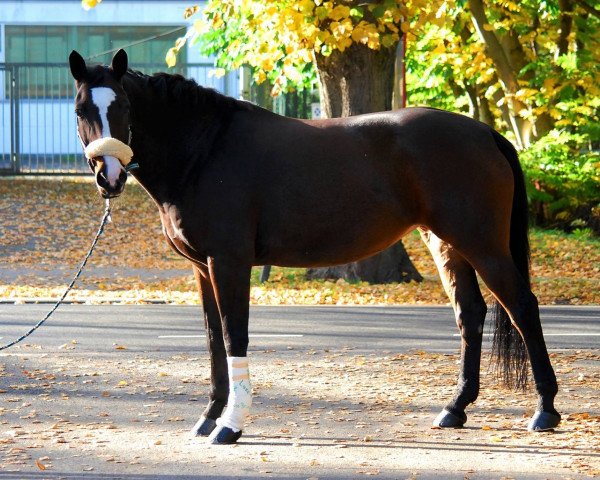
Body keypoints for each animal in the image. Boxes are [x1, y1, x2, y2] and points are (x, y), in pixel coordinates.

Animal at [68, 50, 560, 444]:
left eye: (123, 105)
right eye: (80, 109)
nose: (109, 176)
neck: (205, 149)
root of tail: (485, 133)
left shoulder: (228, 262)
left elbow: (232, 335)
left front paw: (230, 425)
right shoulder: (202, 268)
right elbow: (211, 340)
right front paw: (208, 417)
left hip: (483, 244)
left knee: (521, 306)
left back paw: (545, 411)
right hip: (446, 243)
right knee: (470, 313)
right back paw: (455, 409)